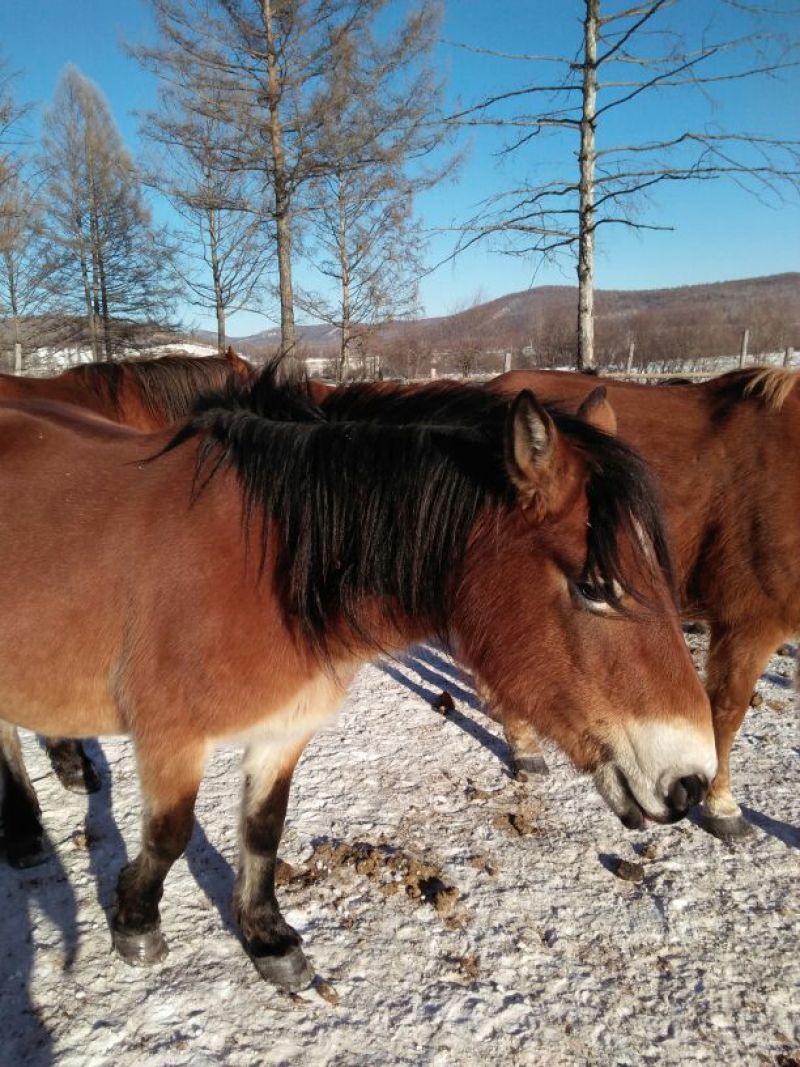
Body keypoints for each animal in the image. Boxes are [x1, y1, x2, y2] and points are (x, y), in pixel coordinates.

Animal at [0, 368, 715, 990]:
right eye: (594, 586)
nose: (692, 783)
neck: (269, 563)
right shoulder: (171, 739)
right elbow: (169, 835)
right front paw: (135, 924)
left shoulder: (283, 732)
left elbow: (263, 829)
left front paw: (268, 940)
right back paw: (27, 830)